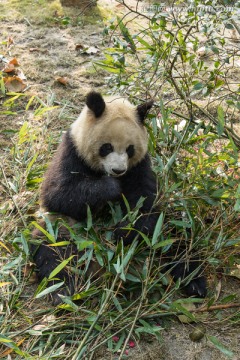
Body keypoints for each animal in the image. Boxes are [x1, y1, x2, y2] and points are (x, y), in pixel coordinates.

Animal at [31, 90, 206, 304]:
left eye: (130, 149)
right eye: (107, 147)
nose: (118, 170)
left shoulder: (140, 165)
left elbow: (144, 203)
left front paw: (124, 231)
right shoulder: (71, 151)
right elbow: (58, 194)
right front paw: (111, 188)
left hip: (166, 230)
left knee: (176, 239)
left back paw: (194, 282)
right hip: (61, 227)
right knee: (54, 251)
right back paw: (63, 291)